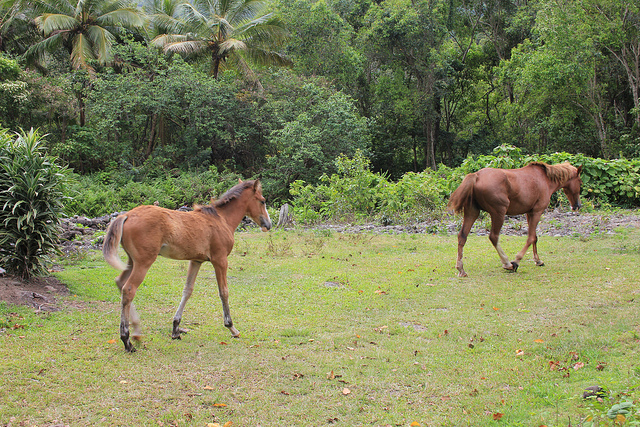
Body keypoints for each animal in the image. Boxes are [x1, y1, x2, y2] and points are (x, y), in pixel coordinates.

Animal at [102, 179, 272, 352]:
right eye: (262, 200)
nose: (268, 224)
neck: (221, 219)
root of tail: (126, 215)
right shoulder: (220, 260)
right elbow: (223, 292)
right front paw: (231, 327)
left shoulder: (196, 261)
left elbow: (187, 290)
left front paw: (176, 329)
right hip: (144, 262)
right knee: (129, 289)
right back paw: (127, 340)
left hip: (132, 261)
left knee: (120, 283)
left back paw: (136, 332)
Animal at [447, 162, 582, 277]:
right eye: (580, 182)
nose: (577, 205)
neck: (545, 179)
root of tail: (476, 176)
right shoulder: (537, 212)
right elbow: (531, 238)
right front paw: (517, 260)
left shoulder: (529, 213)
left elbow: (534, 237)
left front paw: (538, 260)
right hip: (499, 213)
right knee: (493, 237)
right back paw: (508, 264)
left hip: (472, 212)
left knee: (462, 236)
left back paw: (461, 269)